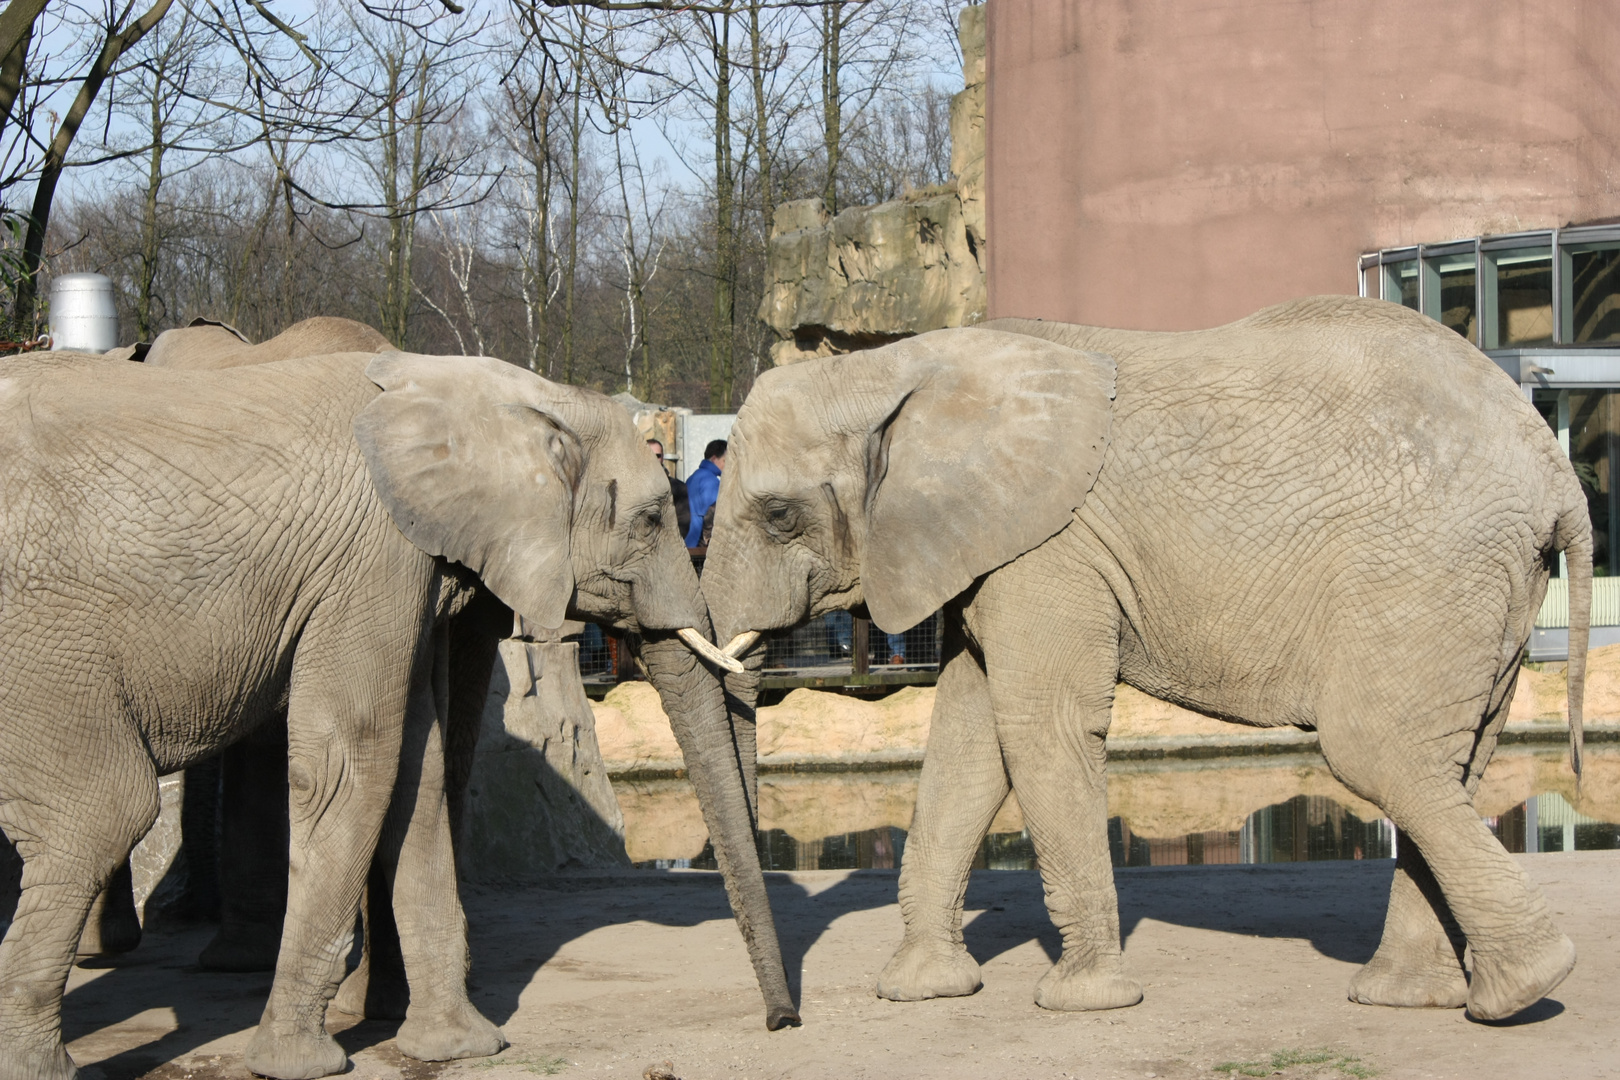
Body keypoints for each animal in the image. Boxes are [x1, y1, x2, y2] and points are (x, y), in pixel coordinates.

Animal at [703, 299, 1587, 1029]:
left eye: (778, 516)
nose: (786, 1021)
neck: (895, 368)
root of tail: (1554, 467)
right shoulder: (987, 553)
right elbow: (967, 739)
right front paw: (918, 992)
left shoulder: (1051, 548)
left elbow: (1039, 725)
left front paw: (1080, 1002)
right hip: (1488, 594)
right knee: (1451, 764)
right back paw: (1416, 997)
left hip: (1428, 575)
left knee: (1379, 752)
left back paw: (1524, 991)